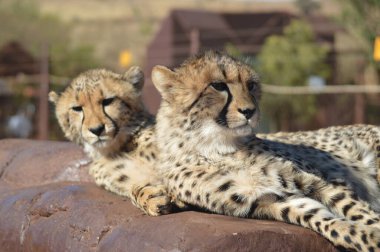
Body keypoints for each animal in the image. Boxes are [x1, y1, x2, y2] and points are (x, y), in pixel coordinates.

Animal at [48, 67, 173, 217]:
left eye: (108, 101)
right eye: (77, 108)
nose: (96, 129)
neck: (119, 147)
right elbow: (137, 188)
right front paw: (151, 197)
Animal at [151, 50, 380, 250]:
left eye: (251, 85)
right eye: (218, 85)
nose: (249, 111)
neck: (217, 147)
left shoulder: (314, 181)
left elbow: (355, 208)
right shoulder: (265, 200)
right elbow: (320, 218)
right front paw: (366, 236)